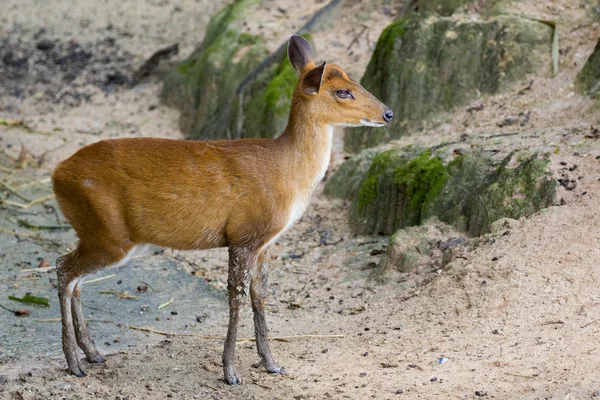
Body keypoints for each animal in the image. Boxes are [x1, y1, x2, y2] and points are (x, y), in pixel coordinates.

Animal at [51, 35, 394, 384]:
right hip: (107, 231)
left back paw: (93, 353)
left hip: (106, 235)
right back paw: (74, 363)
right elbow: (236, 296)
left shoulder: (264, 243)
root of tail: (57, 174)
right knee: (63, 268)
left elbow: (260, 294)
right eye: (343, 91)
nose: (389, 113)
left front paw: (271, 363)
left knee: (75, 277)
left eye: (355, 80)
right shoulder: (243, 235)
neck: (285, 172)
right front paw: (230, 371)